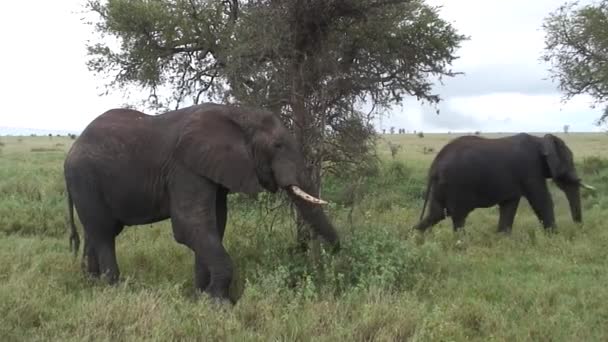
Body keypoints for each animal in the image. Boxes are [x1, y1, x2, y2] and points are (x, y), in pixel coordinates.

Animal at [64, 102, 340, 304]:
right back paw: (114, 288)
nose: (337, 254)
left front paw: (200, 297)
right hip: (84, 177)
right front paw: (219, 304)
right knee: (103, 232)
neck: (238, 113)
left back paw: (91, 283)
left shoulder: (212, 169)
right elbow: (190, 226)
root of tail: (72, 149)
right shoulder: (185, 168)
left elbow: (214, 225)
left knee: (94, 232)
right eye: (278, 145)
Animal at [414, 133, 592, 232]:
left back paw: (415, 238)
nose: (579, 228)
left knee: (436, 214)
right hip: (456, 185)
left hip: (441, 186)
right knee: (458, 217)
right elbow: (542, 201)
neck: (540, 140)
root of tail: (435, 164)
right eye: (569, 162)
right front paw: (554, 237)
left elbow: (509, 205)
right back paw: (461, 246)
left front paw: (502, 238)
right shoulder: (530, 168)